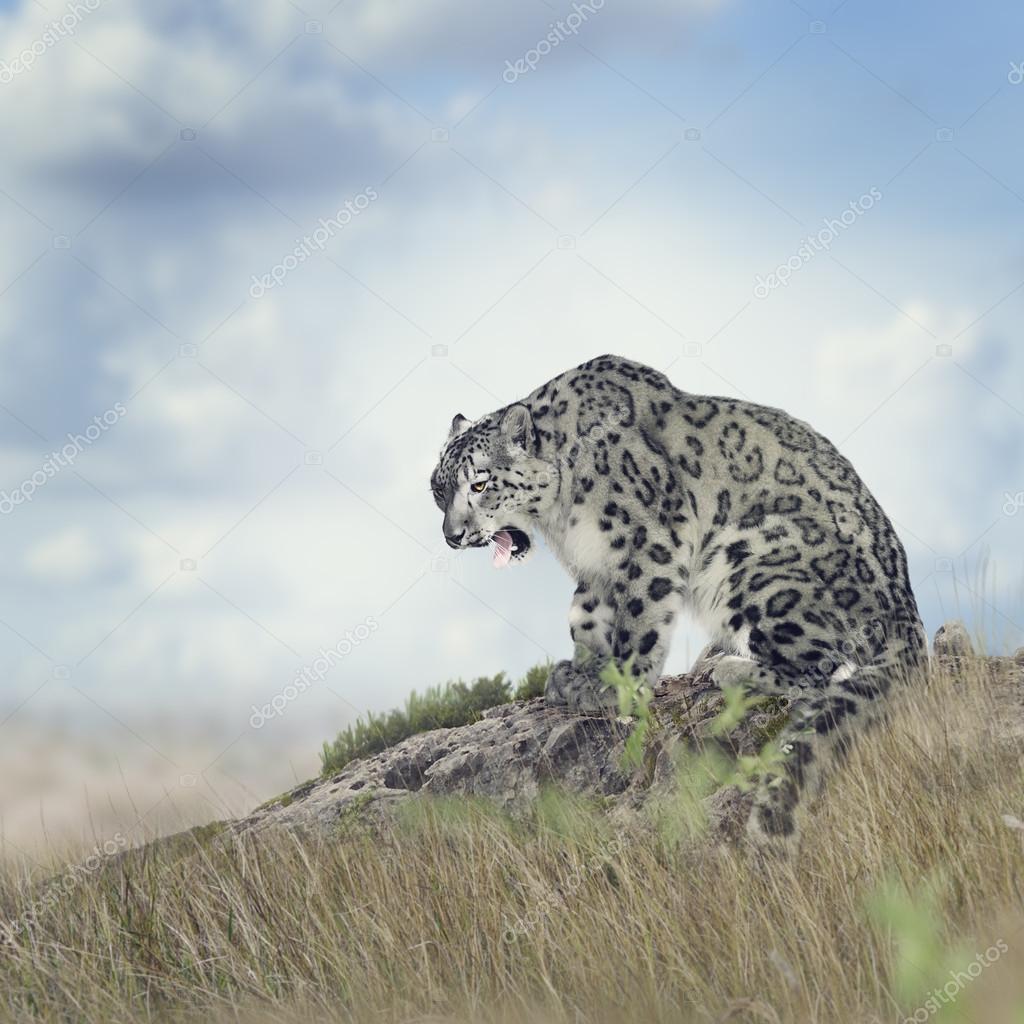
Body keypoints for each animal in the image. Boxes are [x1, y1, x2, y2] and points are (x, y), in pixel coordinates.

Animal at [429, 354, 927, 848]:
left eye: (479, 484)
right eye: (438, 489)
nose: (453, 536)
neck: (558, 518)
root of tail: (906, 612)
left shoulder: (648, 541)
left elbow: (638, 622)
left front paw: (617, 688)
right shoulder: (597, 566)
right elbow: (584, 617)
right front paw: (581, 673)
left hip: (749, 560)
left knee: (823, 669)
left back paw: (727, 667)